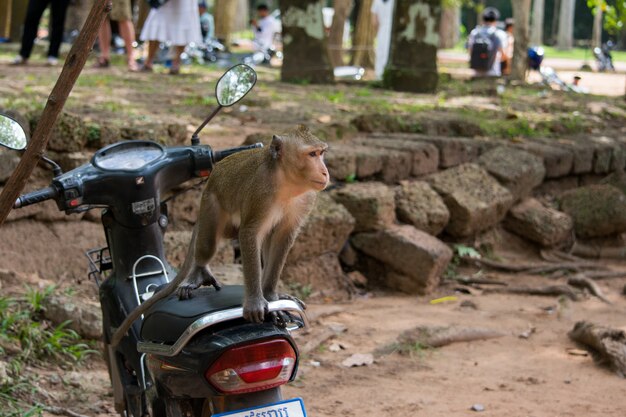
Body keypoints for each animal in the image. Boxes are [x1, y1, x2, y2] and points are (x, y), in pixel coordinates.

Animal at [110, 125, 330, 346]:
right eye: (312, 154)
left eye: (321, 153)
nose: (325, 172)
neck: (286, 182)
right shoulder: (261, 192)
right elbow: (250, 233)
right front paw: (255, 301)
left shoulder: (306, 199)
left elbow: (283, 237)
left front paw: (271, 296)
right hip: (211, 204)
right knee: (207, 245)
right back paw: (198, 273)